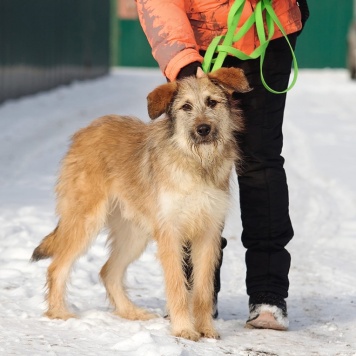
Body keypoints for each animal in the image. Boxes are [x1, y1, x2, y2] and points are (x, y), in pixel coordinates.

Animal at [32, 67, 252, 342]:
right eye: (186, 107)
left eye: (212, 102)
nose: (203, 129)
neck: (196, 163)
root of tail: (86, 130)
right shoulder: (171, 234)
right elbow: (178, 287)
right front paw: (183, 329)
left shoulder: (208, 235)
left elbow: (202, 291)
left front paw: (205, 329)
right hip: (85, 220)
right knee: (57, 267)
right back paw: (59, 313)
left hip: (134, 234)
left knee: (108, 271)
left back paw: (130, 313)